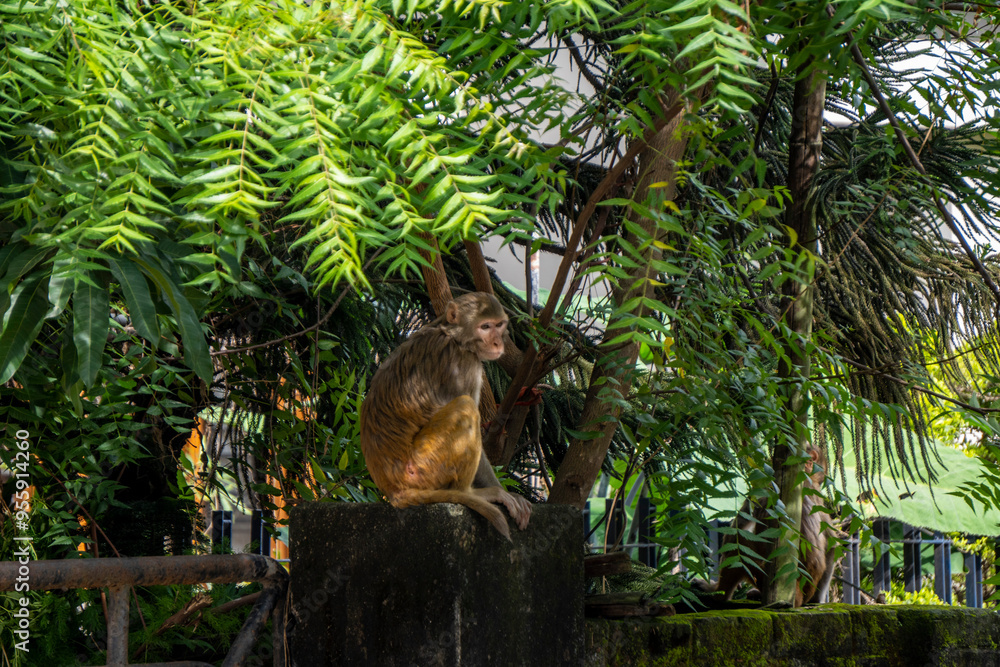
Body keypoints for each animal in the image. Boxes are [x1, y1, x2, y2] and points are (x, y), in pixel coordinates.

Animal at [359, 292, 532, 540]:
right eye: (485, 327)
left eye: (499, 325)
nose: (498, 342)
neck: (454, 336)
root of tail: (395, 490)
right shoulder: (465, 364)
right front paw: (499, 491)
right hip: (423, 467)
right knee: (465, 406)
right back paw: (471, 493)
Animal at [698, 446, 841, 607]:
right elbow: (832, 543)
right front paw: (817, 600)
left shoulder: (770, 487)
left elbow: (737, 530)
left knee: (740, 547)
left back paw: (718, 594)